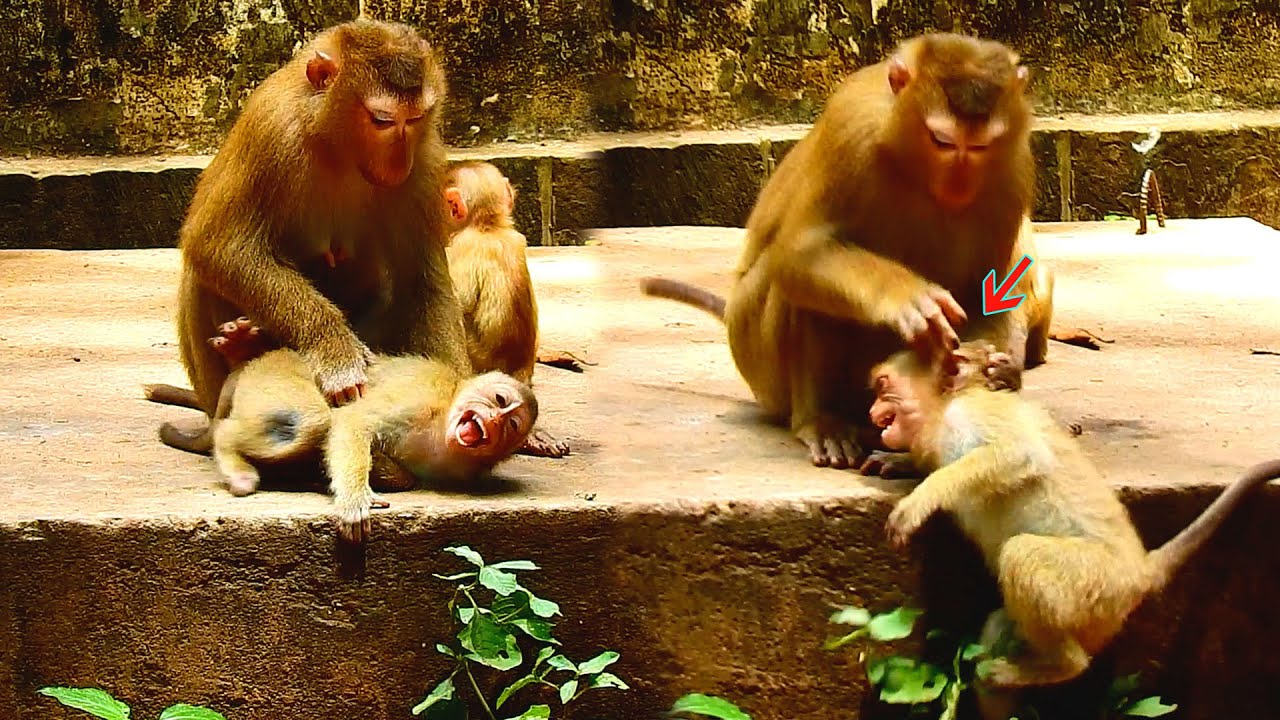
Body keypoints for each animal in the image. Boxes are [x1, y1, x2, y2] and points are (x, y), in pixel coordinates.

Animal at [157, 19, 469, 456]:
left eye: (415, 119)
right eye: (382, 120)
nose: (397, 164)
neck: (336, 143)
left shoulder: (425, 160)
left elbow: (421, 282)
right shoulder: (272, 128)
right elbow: (216, 245)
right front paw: (335, 351)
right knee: (202, 275)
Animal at [203, 318, 536, 543]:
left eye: (511, 424)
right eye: (499, 400)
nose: (493, 420)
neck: (442, 423)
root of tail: (250, 365)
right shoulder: (421, 396)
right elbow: (352, 423)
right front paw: (355, 498)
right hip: (273, 373)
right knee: (313, 421)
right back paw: (231, 450)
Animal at [641, 33, 1044, 471]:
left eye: (982, 146)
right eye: (942, 141)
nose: (959, 186)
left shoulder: (1015, 165)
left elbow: (990, 288)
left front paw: (992, 369)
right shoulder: (851, 126)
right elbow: (800, 252)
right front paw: (907, 298)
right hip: (758, 360)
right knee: (799, 292)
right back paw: (822, 421)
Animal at [867, 342, 1280, 717]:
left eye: (884, 387)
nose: (872, 411)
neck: (945, 408)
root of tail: (1140, 572)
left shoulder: (974, 413)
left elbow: (1020, 453)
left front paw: (918, 499)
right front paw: (899, 462)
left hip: (1093, 583)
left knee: (1023, 556)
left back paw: (1064, 665)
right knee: (996, 633)